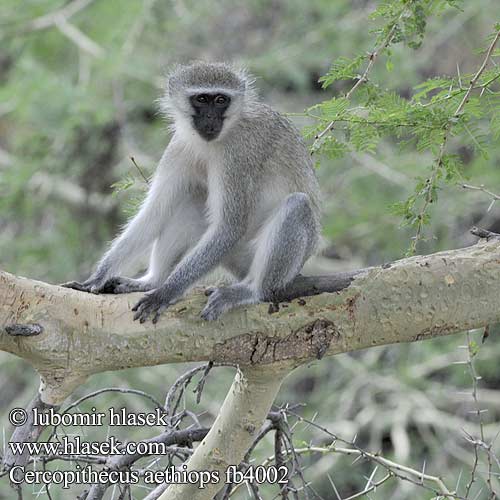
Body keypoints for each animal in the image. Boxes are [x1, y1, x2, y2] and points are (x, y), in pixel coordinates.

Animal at [63, 62, 320, 322]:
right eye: (201, 99)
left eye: (220, 100)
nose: (210, 118)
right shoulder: (178, 146)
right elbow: (155, 212)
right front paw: (96, 279)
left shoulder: (237, 156)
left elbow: (229, 227)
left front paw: (165, 293)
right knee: (192, 202)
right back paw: (151, 281)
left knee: (297, 205)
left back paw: (251, 290)